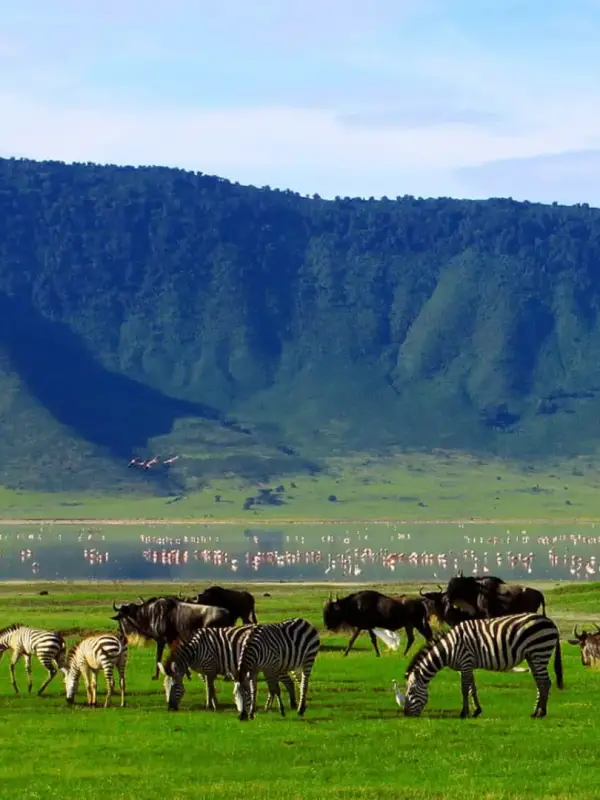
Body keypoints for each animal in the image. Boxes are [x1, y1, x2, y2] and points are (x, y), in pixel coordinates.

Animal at [158, 624, 298, 712]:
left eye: (175, 686)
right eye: (164, 686)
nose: (170, 708)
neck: (195, 650)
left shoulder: (209, 666)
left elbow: (209, 688)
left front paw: (211, 706)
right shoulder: (206, 671)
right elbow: (209, 687)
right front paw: (214, 703)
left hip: (274, 665)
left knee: (287, 682)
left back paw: (292, 704)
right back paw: (271, 706)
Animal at [398, 612, 564, 720]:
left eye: (410, 692)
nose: (406, 714)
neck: (449, 648)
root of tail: (551, 622)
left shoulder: (465, 661)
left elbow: (464, 689)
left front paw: (464, 713)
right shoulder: (466, 666)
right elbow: (472, 688)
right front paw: (477, 711)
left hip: (539, 652)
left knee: (544, 682)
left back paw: (540, 713)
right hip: (532, 656)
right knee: (541, 682)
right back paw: (537, 711)